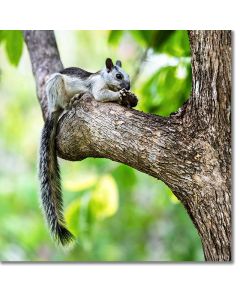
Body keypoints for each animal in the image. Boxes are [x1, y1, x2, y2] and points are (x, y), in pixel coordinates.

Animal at [38, 58, 138, 246]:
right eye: (118, 76)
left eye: (128, 75)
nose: (128, 86)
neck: (104, 77)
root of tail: (52, 110)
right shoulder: (97, 86)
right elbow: (101, 95)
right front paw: (119, 96)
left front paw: (130, 98)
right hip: (55, 87)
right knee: (62, 104)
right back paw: (71, 101)